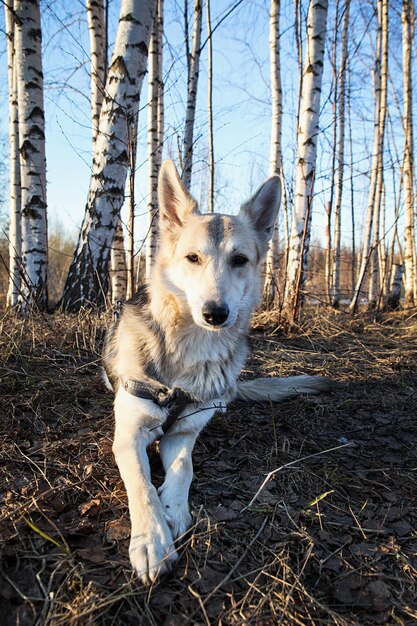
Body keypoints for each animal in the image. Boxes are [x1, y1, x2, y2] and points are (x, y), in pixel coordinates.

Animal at [102, 160, 330, 580]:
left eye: (240, 260)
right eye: (193, 258)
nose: (215, 314)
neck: (191, 348)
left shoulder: (185, 432)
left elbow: (184, 467)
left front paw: (173, 508)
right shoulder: (128, 435)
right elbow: (141, 485)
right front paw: (152, 539)